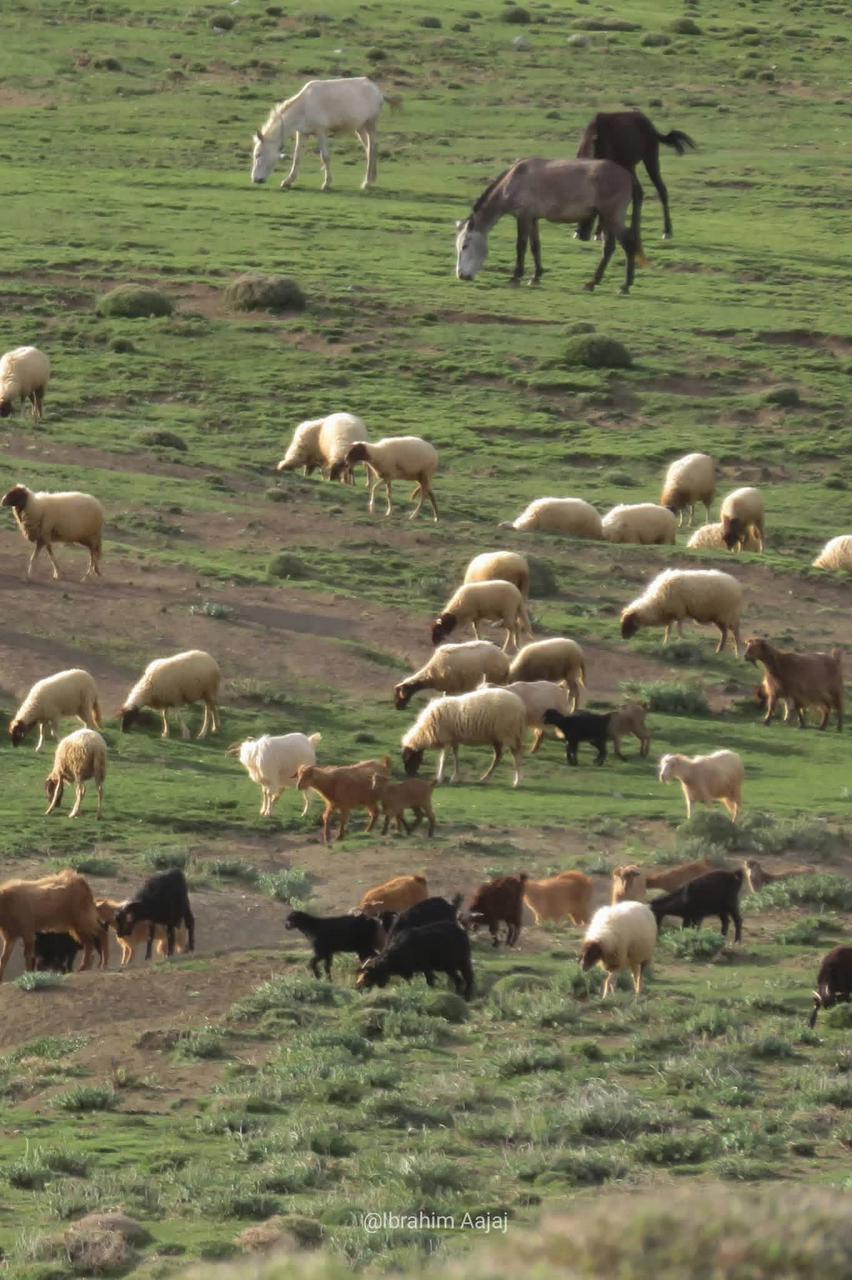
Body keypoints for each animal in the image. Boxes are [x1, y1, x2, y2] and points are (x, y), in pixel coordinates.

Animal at [251, 77, 387, 191]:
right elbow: (297, 157)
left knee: (372, 148)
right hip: (360, 128)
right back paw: (372, 179)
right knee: (370, 148)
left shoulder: (321, 132)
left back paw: (367, 182)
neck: (304, 107)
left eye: (258, 155)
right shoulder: (302, 134)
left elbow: (325, 156)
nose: (255, 179)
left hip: (370, 124)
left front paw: (327, 183)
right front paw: (288, 181)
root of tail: (374, 88)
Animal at [455, 158, 641, 294]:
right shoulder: (533, 219)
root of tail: (628, 175)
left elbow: (521, 246)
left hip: (613, 217)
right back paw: (593, 283)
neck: (514, 180)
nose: (461, 275)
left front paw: (515, 278)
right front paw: (535, 277)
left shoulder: (523, 217)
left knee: (628, 244)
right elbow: (535, 246)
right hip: (607, 219)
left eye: (465, 246)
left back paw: (624, 286)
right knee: (609, 248)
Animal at [576, 110, 695, 240]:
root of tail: (650, 126)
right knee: (638, 192)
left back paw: (667, 231)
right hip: (630, 166)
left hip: (649, 159)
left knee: (660, 190)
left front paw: (598, 233)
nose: (582, 234)